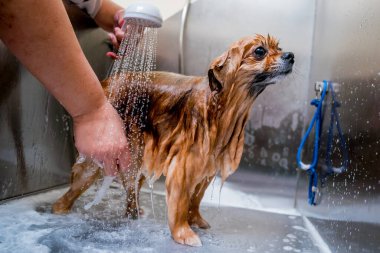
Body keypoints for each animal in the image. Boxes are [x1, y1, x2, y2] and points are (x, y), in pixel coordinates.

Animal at [52, 34, 294, 246]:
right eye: (260, 51)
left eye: (279, 47)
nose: (291, 55)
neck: (218, 107)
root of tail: (105, 85)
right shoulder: (183, 167)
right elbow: (180, 204)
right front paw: (183, 234)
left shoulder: (206, 168)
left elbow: (195, 199)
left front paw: (196, 220)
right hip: (97, 159)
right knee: (70, 193)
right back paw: (59, 211)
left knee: (131, 191)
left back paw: (135, 213)